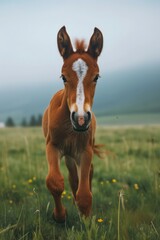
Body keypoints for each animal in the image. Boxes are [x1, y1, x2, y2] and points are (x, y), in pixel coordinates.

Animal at [42, 25, 102, 222]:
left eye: (96, 77)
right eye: (63, 77)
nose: (81, 119)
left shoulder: (85, 151)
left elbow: (85, 194)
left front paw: (87, 220)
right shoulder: (52, 146)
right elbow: (55, 182)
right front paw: (60, 216)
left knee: (86, 174)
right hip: (68, 155)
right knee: (72, 177)